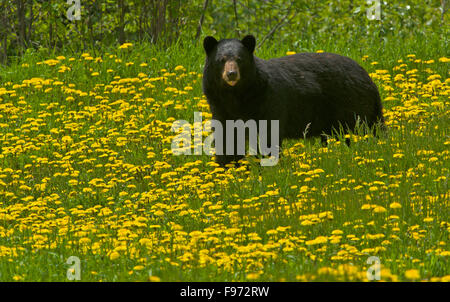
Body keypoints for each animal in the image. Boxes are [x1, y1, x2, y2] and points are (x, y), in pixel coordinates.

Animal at [202, 35, 384, 168]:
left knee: (362, 131)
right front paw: (228, 169)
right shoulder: (220, 107)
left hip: (352, 106)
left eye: (240, 59)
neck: (236, 95)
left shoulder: (267, 101)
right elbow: (227, 138)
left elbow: (269, 135)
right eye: (221, 59)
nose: (231, 74)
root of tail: (367, 77)